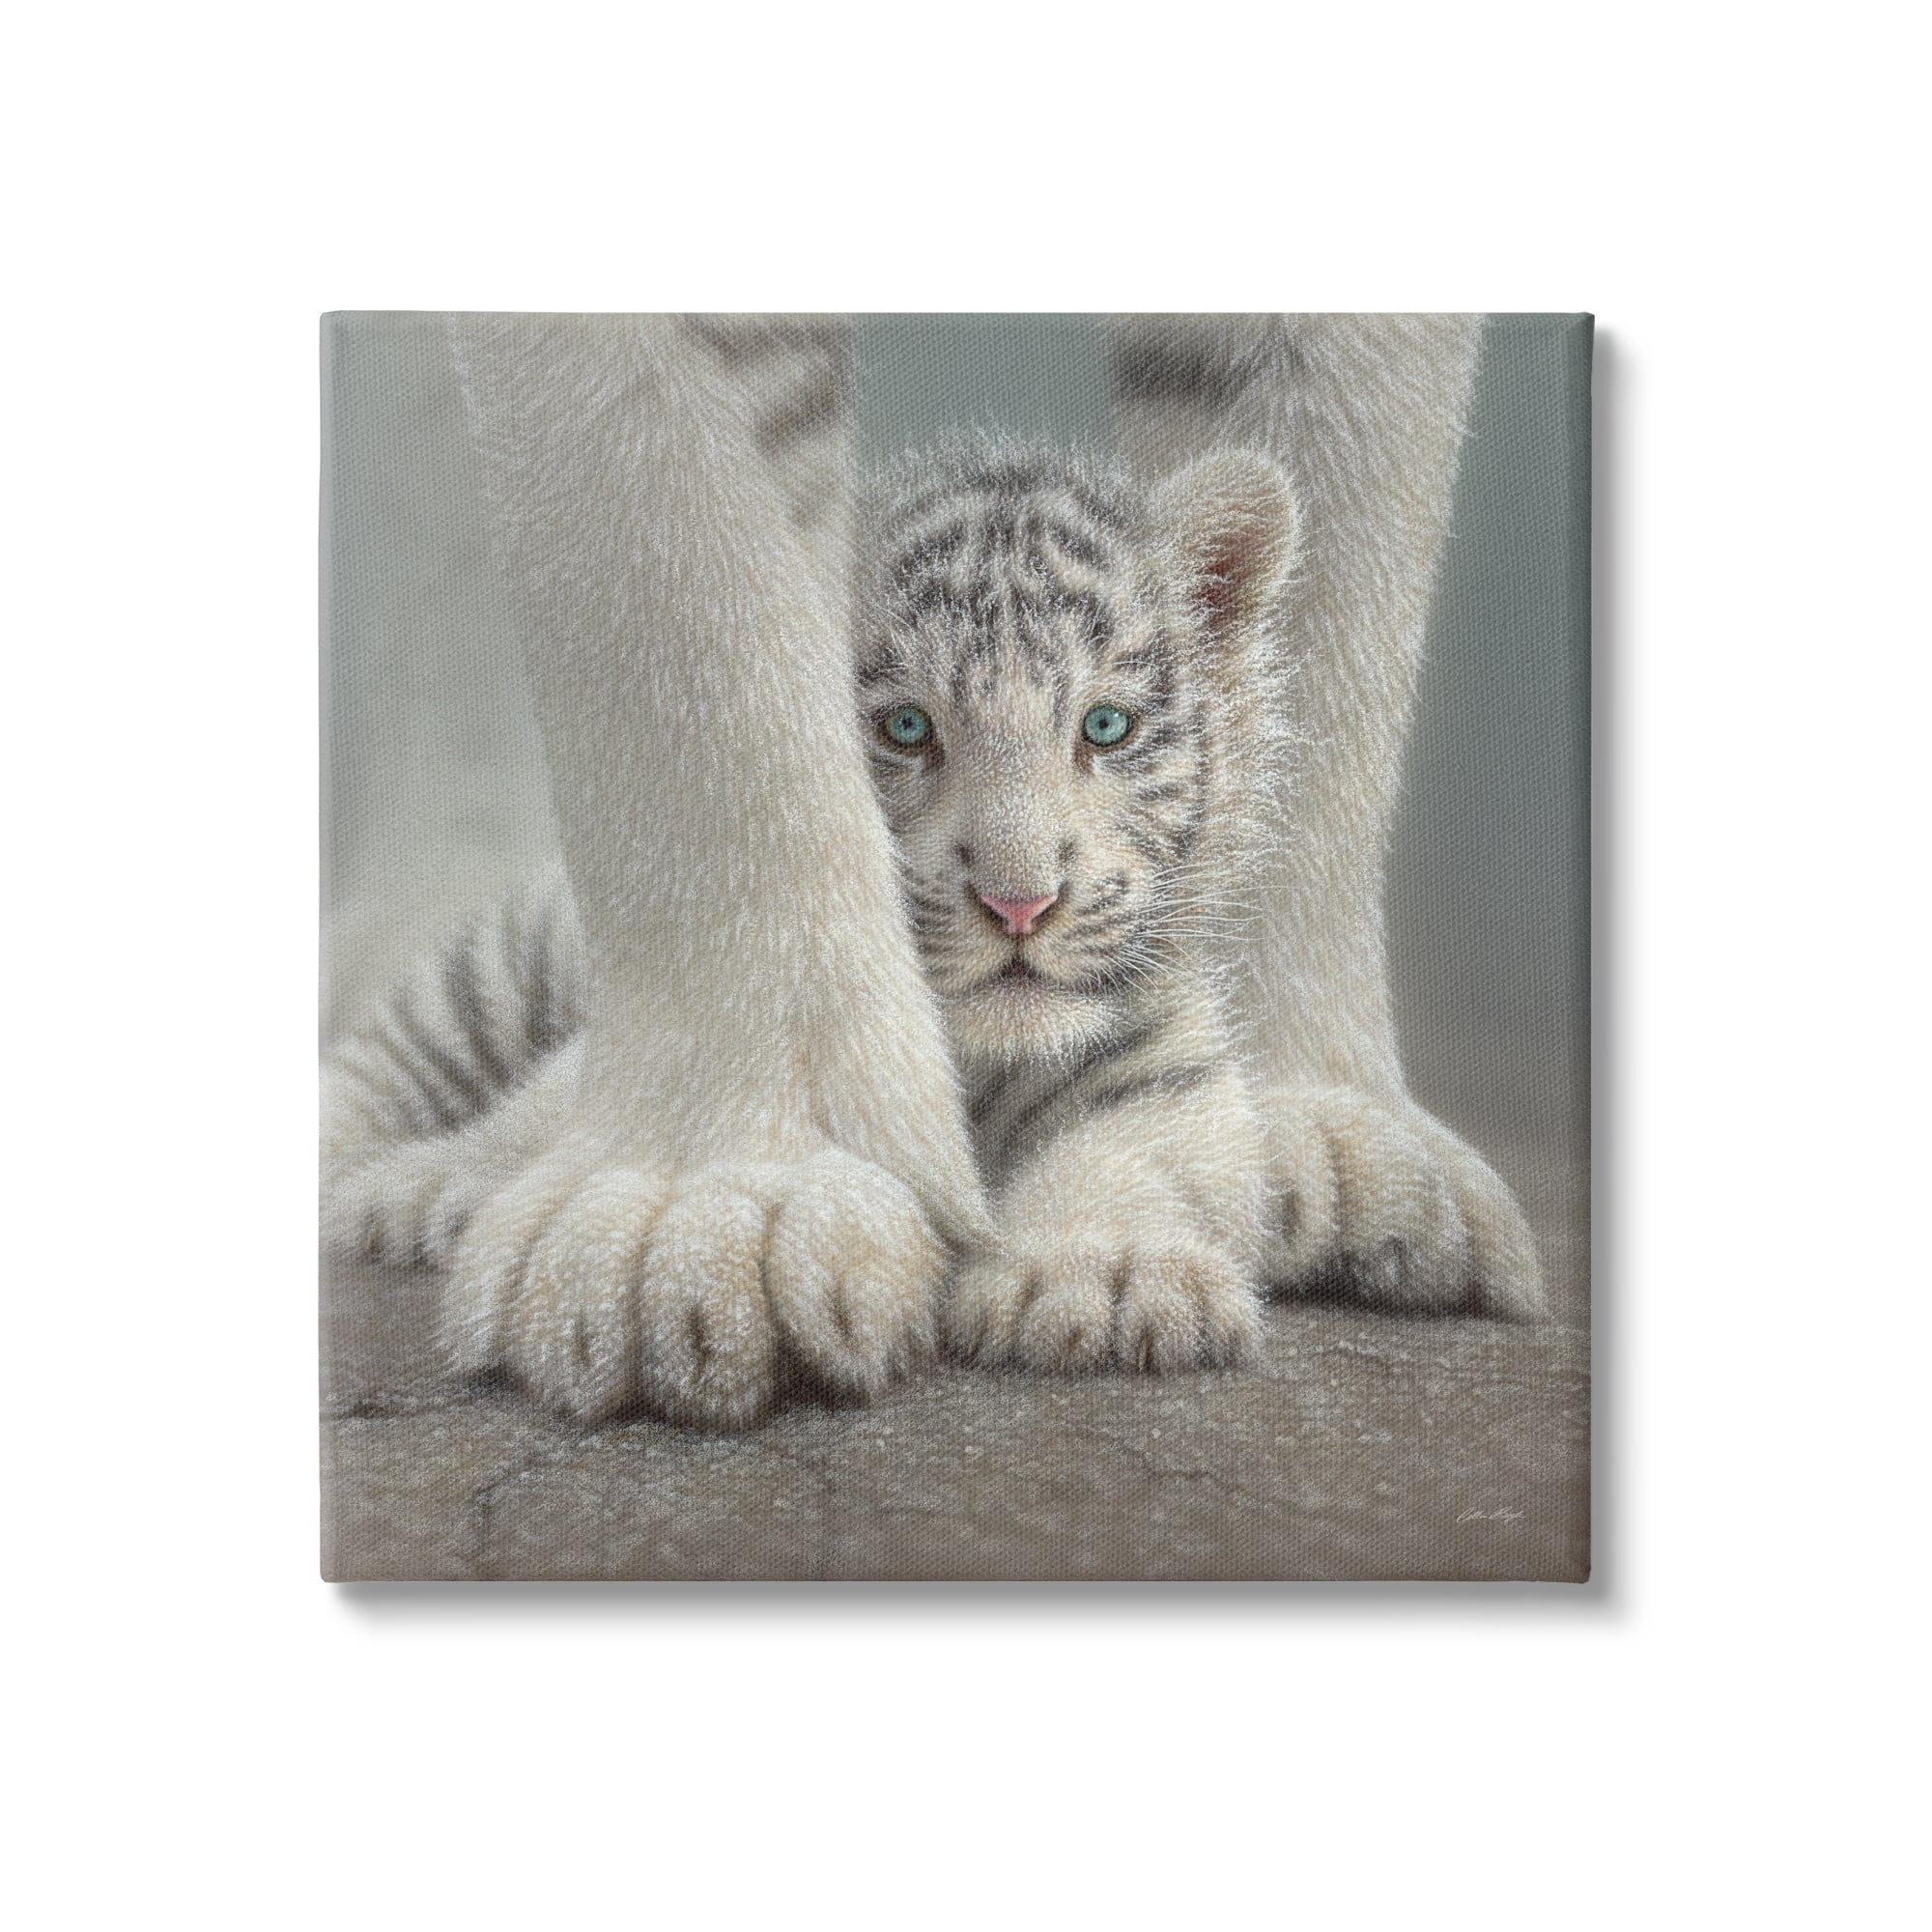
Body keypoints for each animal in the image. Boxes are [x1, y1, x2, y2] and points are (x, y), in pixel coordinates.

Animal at [322, 435, 1300, 1394]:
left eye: (1104, 727)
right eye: (905, 727)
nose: (1018, 904)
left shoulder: (1163, 1060)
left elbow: (1142, 1152)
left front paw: (1103, 1275)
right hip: (496, 974)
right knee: (393, 1073)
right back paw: (407, 1191)